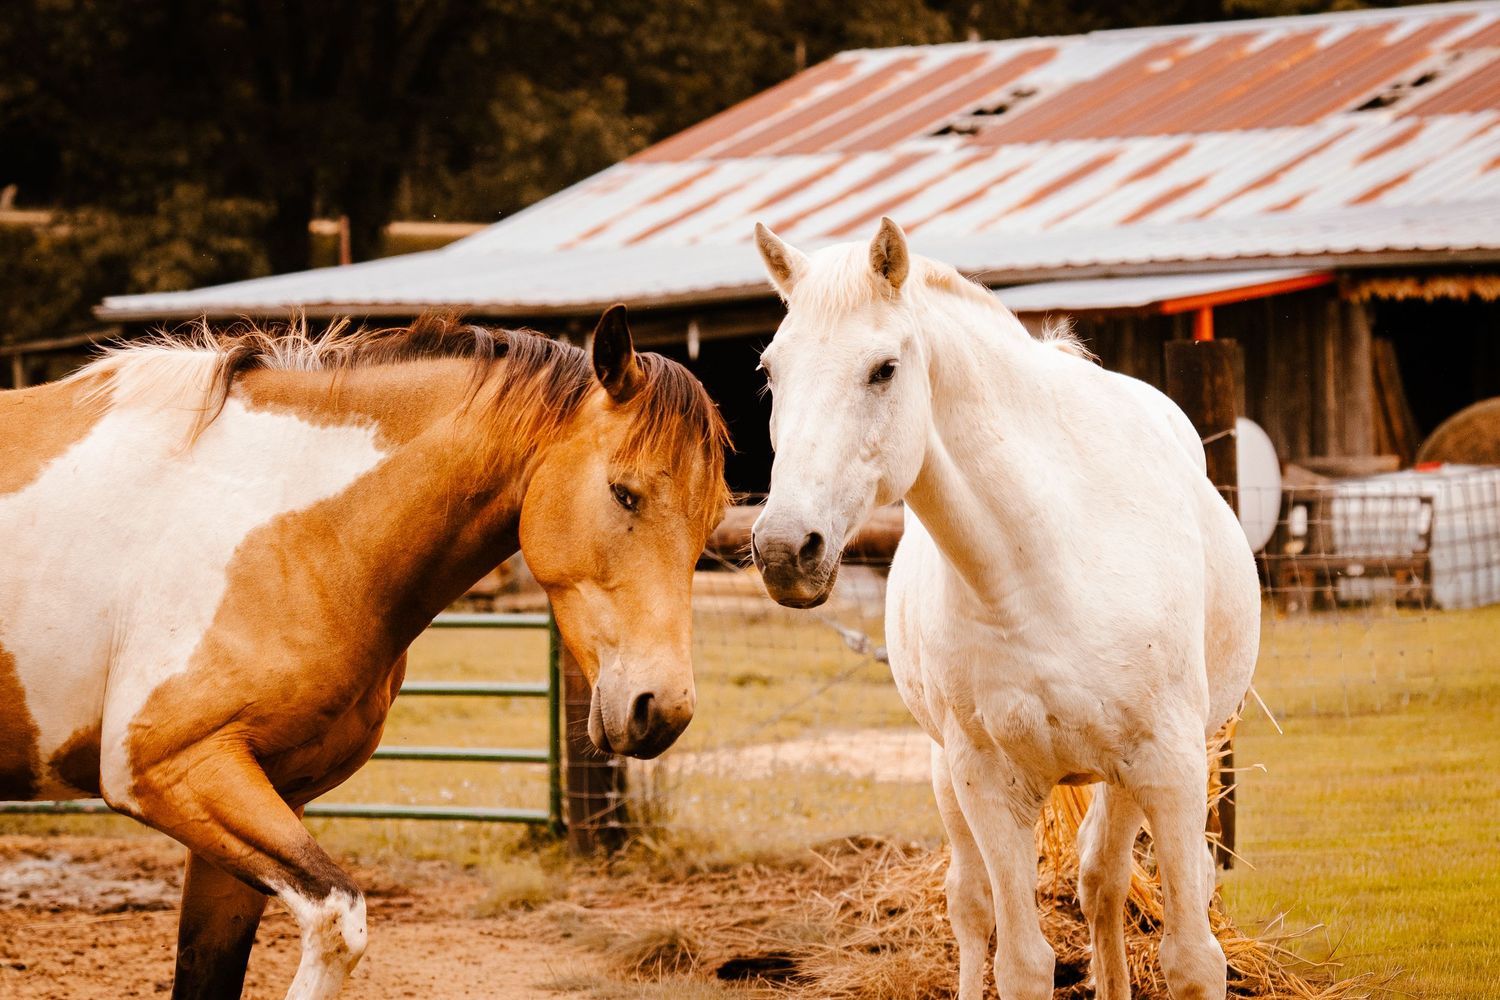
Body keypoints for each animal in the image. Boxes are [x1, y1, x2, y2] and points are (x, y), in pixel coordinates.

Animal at [0, 305, 730, 1000]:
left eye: (709, 524)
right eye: (623, 492)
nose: (662, 709)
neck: (289, 526)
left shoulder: (256, 796)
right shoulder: (169, 767)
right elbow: (339, 920)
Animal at [749, 219, 1259, 1000]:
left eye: (883, 369)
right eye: (772, 372)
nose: (784, 548)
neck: (1040, 568)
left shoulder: (1169, 764)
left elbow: (1193, 959)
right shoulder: (989, 782)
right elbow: (1021, 962)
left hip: (1135, 776)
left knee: (1102, 883)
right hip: (948, 773)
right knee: (973, 904)